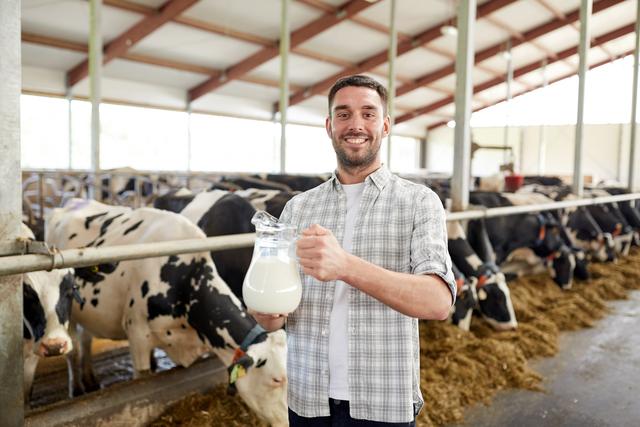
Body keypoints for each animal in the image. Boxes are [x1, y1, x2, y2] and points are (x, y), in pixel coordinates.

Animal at [48, 201, 290, 427]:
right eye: (277, 380)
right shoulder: (137, 334)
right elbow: (143, 378)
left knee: (85, 338)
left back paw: (90, 380)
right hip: (66, 310)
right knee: (72, 349)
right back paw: (77, 389)